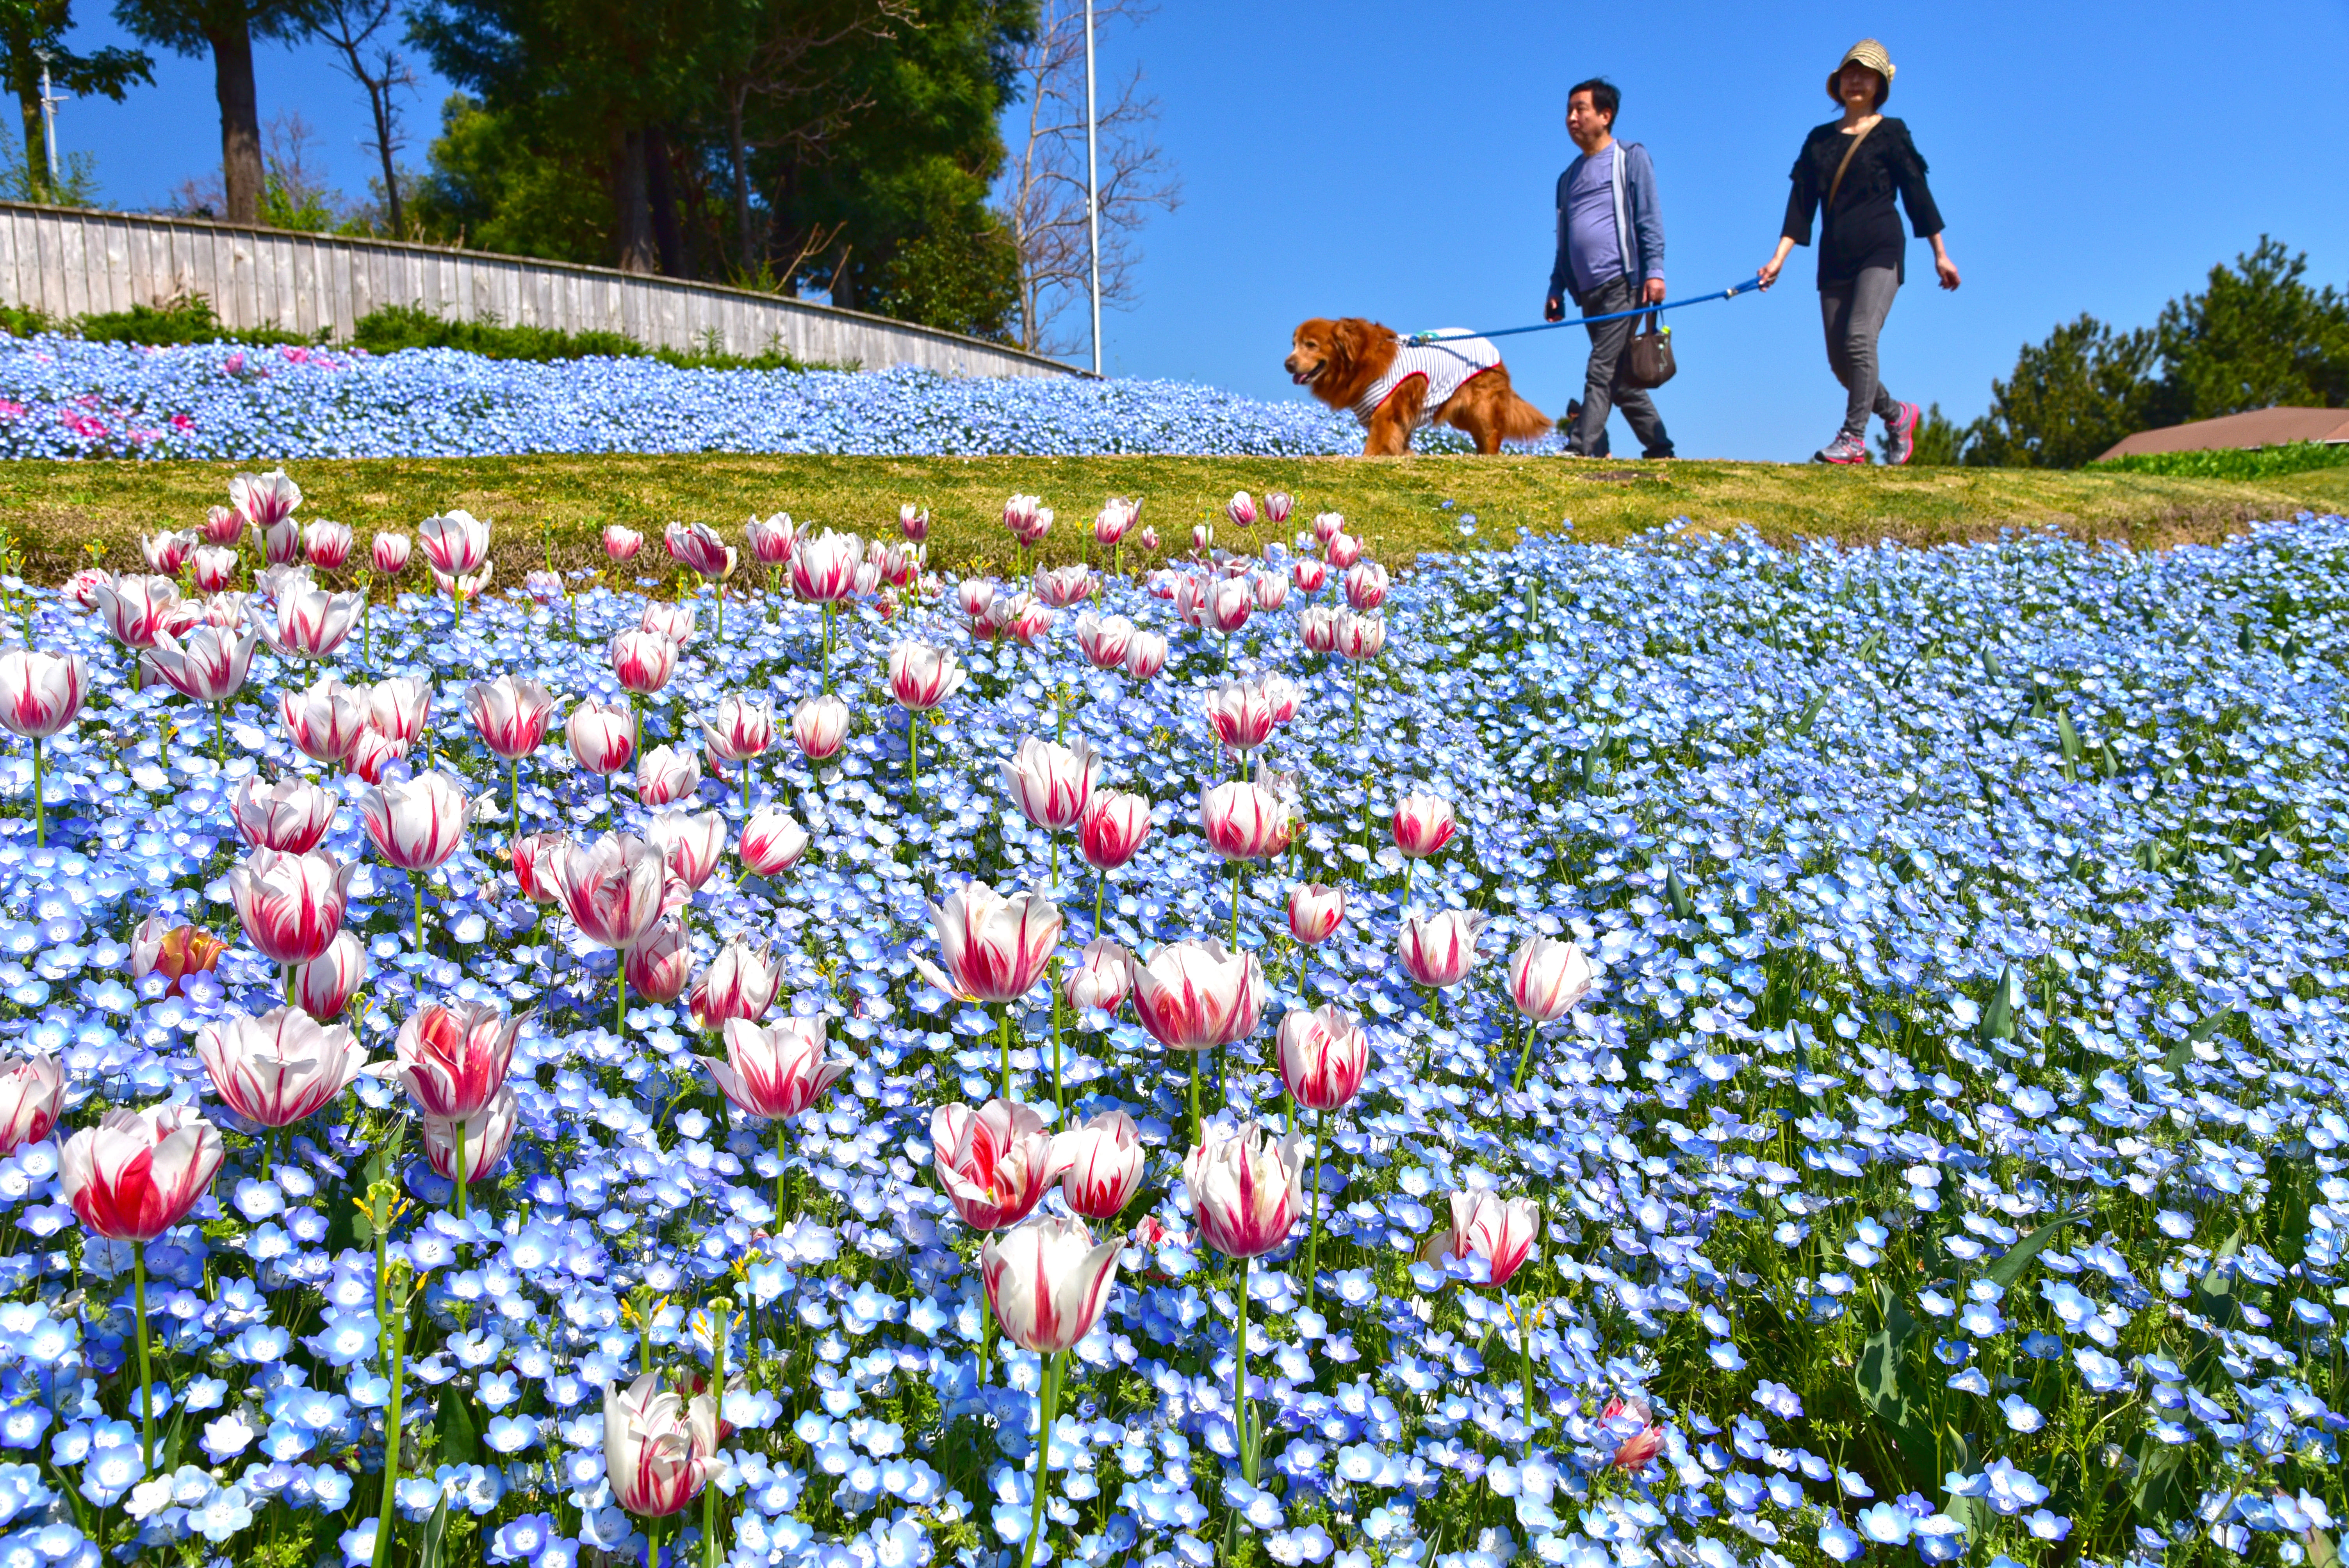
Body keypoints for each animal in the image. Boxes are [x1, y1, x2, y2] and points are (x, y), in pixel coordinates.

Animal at [1278, 317, 1550, 453]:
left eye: (1311, 345)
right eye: (1293, 344)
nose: (1288, 365)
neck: (1361, 361)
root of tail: (1491, 346)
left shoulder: (1385, 414)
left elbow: (1372, 449)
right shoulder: (1399, 419)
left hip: (1480, 407)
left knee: (1493, 434)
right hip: (1461, 414)